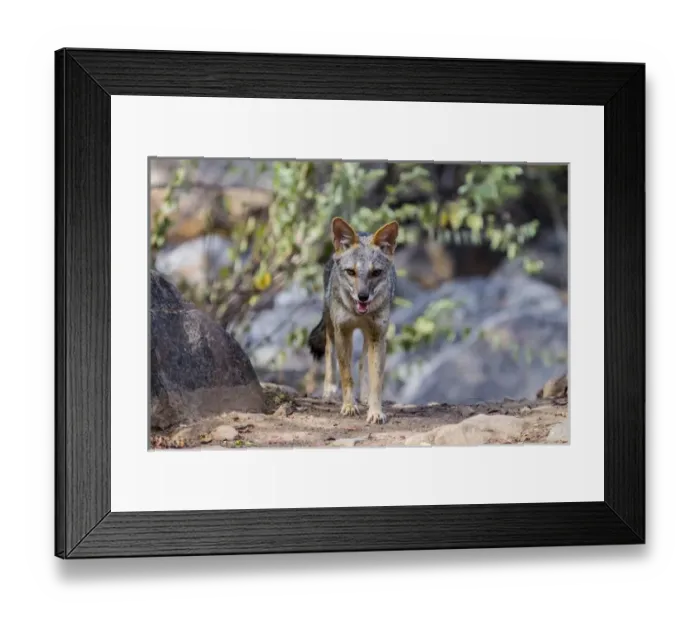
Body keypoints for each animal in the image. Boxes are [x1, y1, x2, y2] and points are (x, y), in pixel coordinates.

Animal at [307, 216, 399, 425]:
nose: (362, 296)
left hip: (368, 337)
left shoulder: (377, 336)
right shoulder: (343, 332)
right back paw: (329, 391)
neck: (360, 314)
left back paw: (364, 396)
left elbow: (376, 380)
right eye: (351, 272)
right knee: (328, 351)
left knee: (363, 362)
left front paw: (375, 411)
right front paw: (349, 406)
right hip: (331, 325)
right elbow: (346, 375)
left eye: (375, 273)